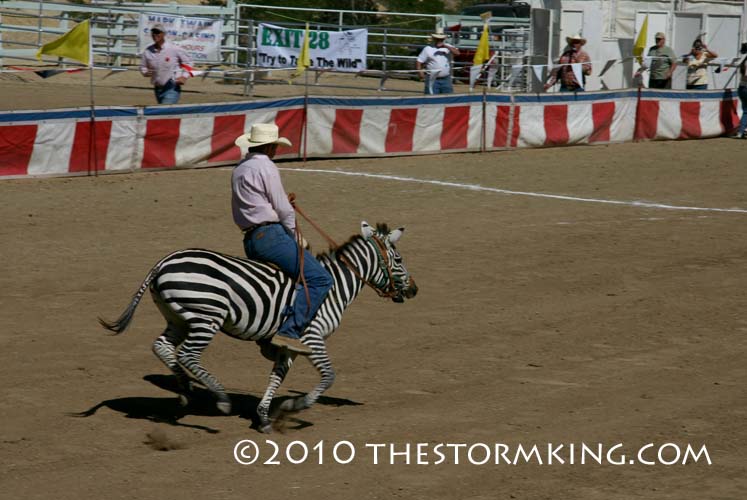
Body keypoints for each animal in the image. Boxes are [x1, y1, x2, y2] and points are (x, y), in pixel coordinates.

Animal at [99, 221, 418, 432]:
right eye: (399, 259)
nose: (415, 290)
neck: (334, 287)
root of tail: (164, 261)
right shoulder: (312, 337)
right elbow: (329, 376)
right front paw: (297, 406)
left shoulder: (289, 343)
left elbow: (277, 376)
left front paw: (265, 416)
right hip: (207, 316)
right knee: (187, 355)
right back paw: (220, 399)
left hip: (178, 317)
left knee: (162, 347)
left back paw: (186, 390)